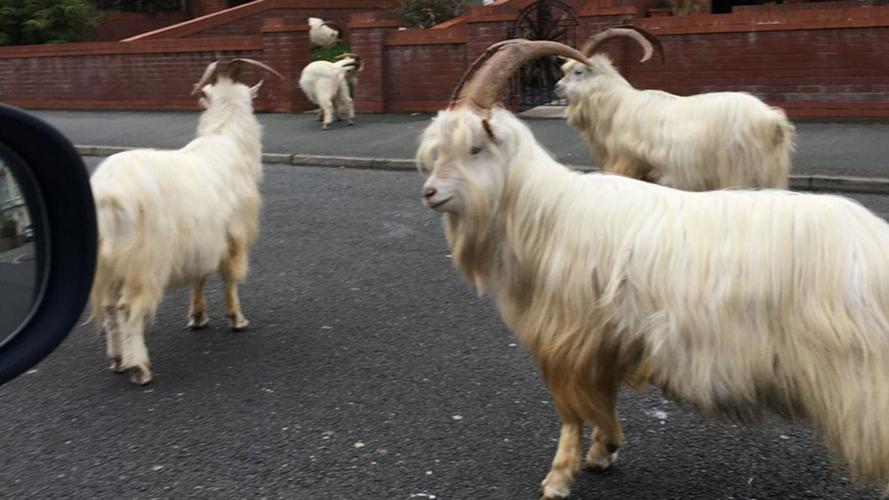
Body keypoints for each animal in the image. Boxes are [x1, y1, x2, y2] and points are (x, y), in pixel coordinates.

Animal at [89, 59, 283, 385]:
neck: (226, 140)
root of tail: (108, 192)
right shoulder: (233, 234)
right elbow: (230, 278)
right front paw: (237, 319)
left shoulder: (200, 240)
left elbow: (199, 277)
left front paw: (198, 317)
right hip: (144, 260)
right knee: (127, 309)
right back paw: (139, 367)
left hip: (108, 263)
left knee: (108, 306)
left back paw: (117, 359)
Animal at [556, 26, 795, 190]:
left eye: (578, 71)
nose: (556, 87)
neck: (616, 105)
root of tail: (772, 121)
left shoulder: (627, 162)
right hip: (769, 174)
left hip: (739, 173)